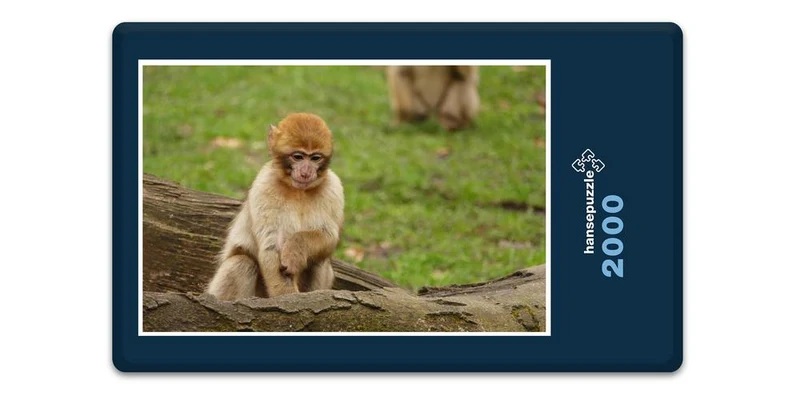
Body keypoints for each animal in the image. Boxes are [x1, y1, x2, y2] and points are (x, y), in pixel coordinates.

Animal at [206, 113, 344, 300]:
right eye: (298, 156)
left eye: (315, 158)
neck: (298, 191)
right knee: (241, 263)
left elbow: (328, 235)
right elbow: (271, 245)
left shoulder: (333, 188)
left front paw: (296, 249)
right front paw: (289, 298)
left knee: (319, 262)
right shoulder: (264, 186)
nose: (306, 172)